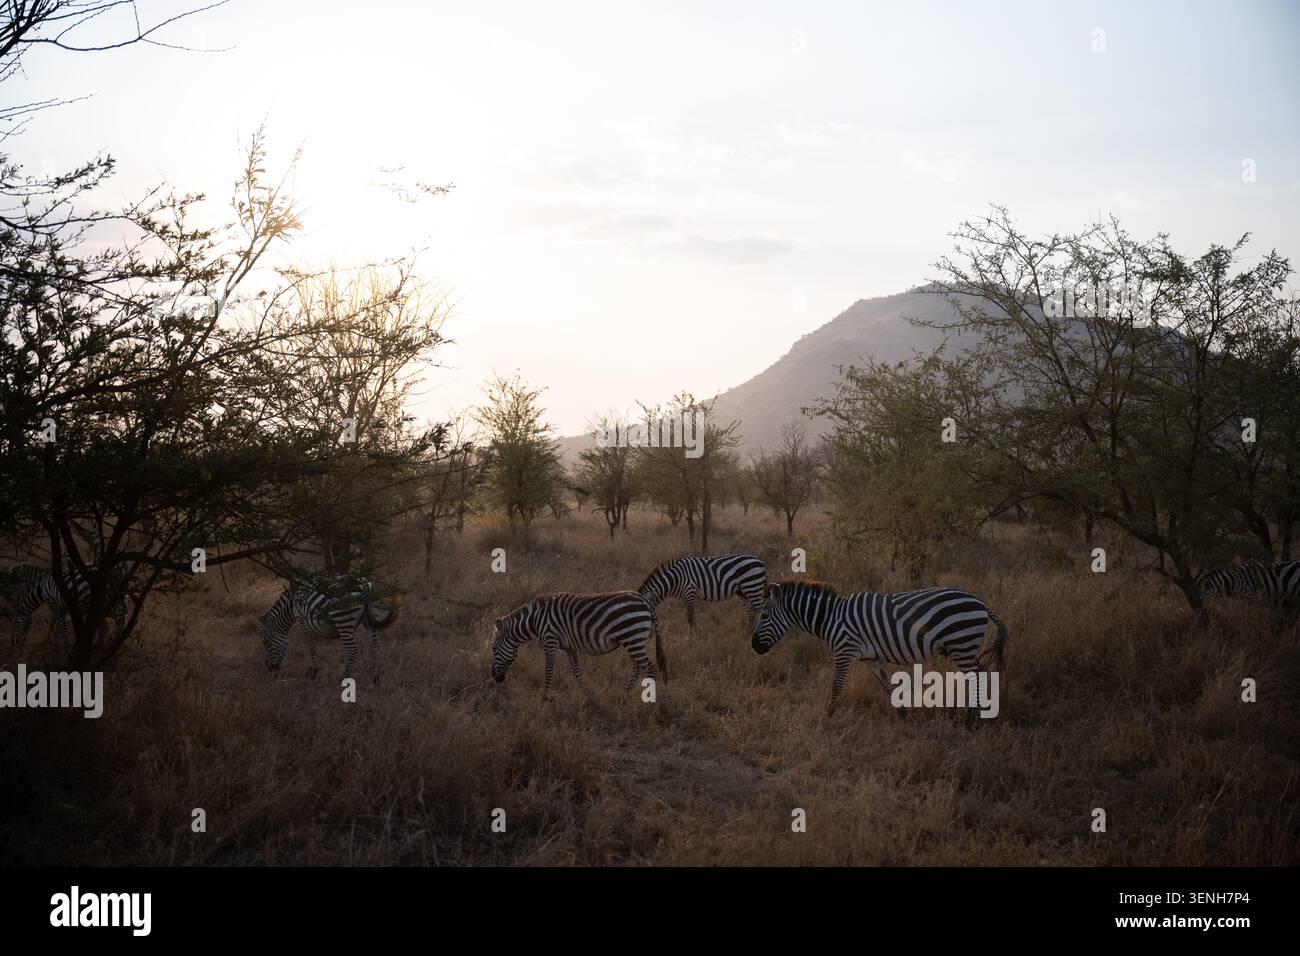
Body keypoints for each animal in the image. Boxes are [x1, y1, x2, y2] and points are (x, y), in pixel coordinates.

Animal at [256, 580, 400, 684]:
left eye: (266, 643)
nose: (270, 668)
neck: (291, 606)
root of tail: (365, 586)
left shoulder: (302, 620)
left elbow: (311, 646)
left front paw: (312, 672)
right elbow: (316, 644)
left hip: (343, 618)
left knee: (351, 648)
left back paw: (345, 678)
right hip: (369, 618)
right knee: (375, 645)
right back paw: (375, 677)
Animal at [491, 590, 668, 700]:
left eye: (493, 648)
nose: (494, 677)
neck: (535, 620)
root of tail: (645, 601)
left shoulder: (550, 640)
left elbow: (548, 669)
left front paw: (545, 697)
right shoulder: (568, 647)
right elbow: (577, 670)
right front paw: (586, 694)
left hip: (632, 637)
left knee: (650, 668)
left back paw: (648, 698)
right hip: (635, 639)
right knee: (637, 667)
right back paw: (626, 695)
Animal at [638, 553, 767, 638]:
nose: (648, 637)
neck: (675, 579)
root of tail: (759, 561)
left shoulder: (690, 592)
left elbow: (690, 618)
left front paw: (691, 640)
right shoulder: (685, 597)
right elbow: (692, 617)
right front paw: (696, 636)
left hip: (753, 586)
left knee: (762, 609)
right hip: (744, 591)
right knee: (750, 611)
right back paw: (746, 634)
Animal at [750, 580, 1008, 724]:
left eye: (763, 615)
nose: (753, 646)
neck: (830, 617)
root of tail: (981, 602)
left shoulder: (844, 651)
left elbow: (836, 685)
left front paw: (827, 716)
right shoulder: (869, 658)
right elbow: (886, 684)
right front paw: (903, 714)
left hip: (962, 645)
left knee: (978, 675)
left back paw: (973, 720)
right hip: (964, 646)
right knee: (981, 671)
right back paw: (976, 714)